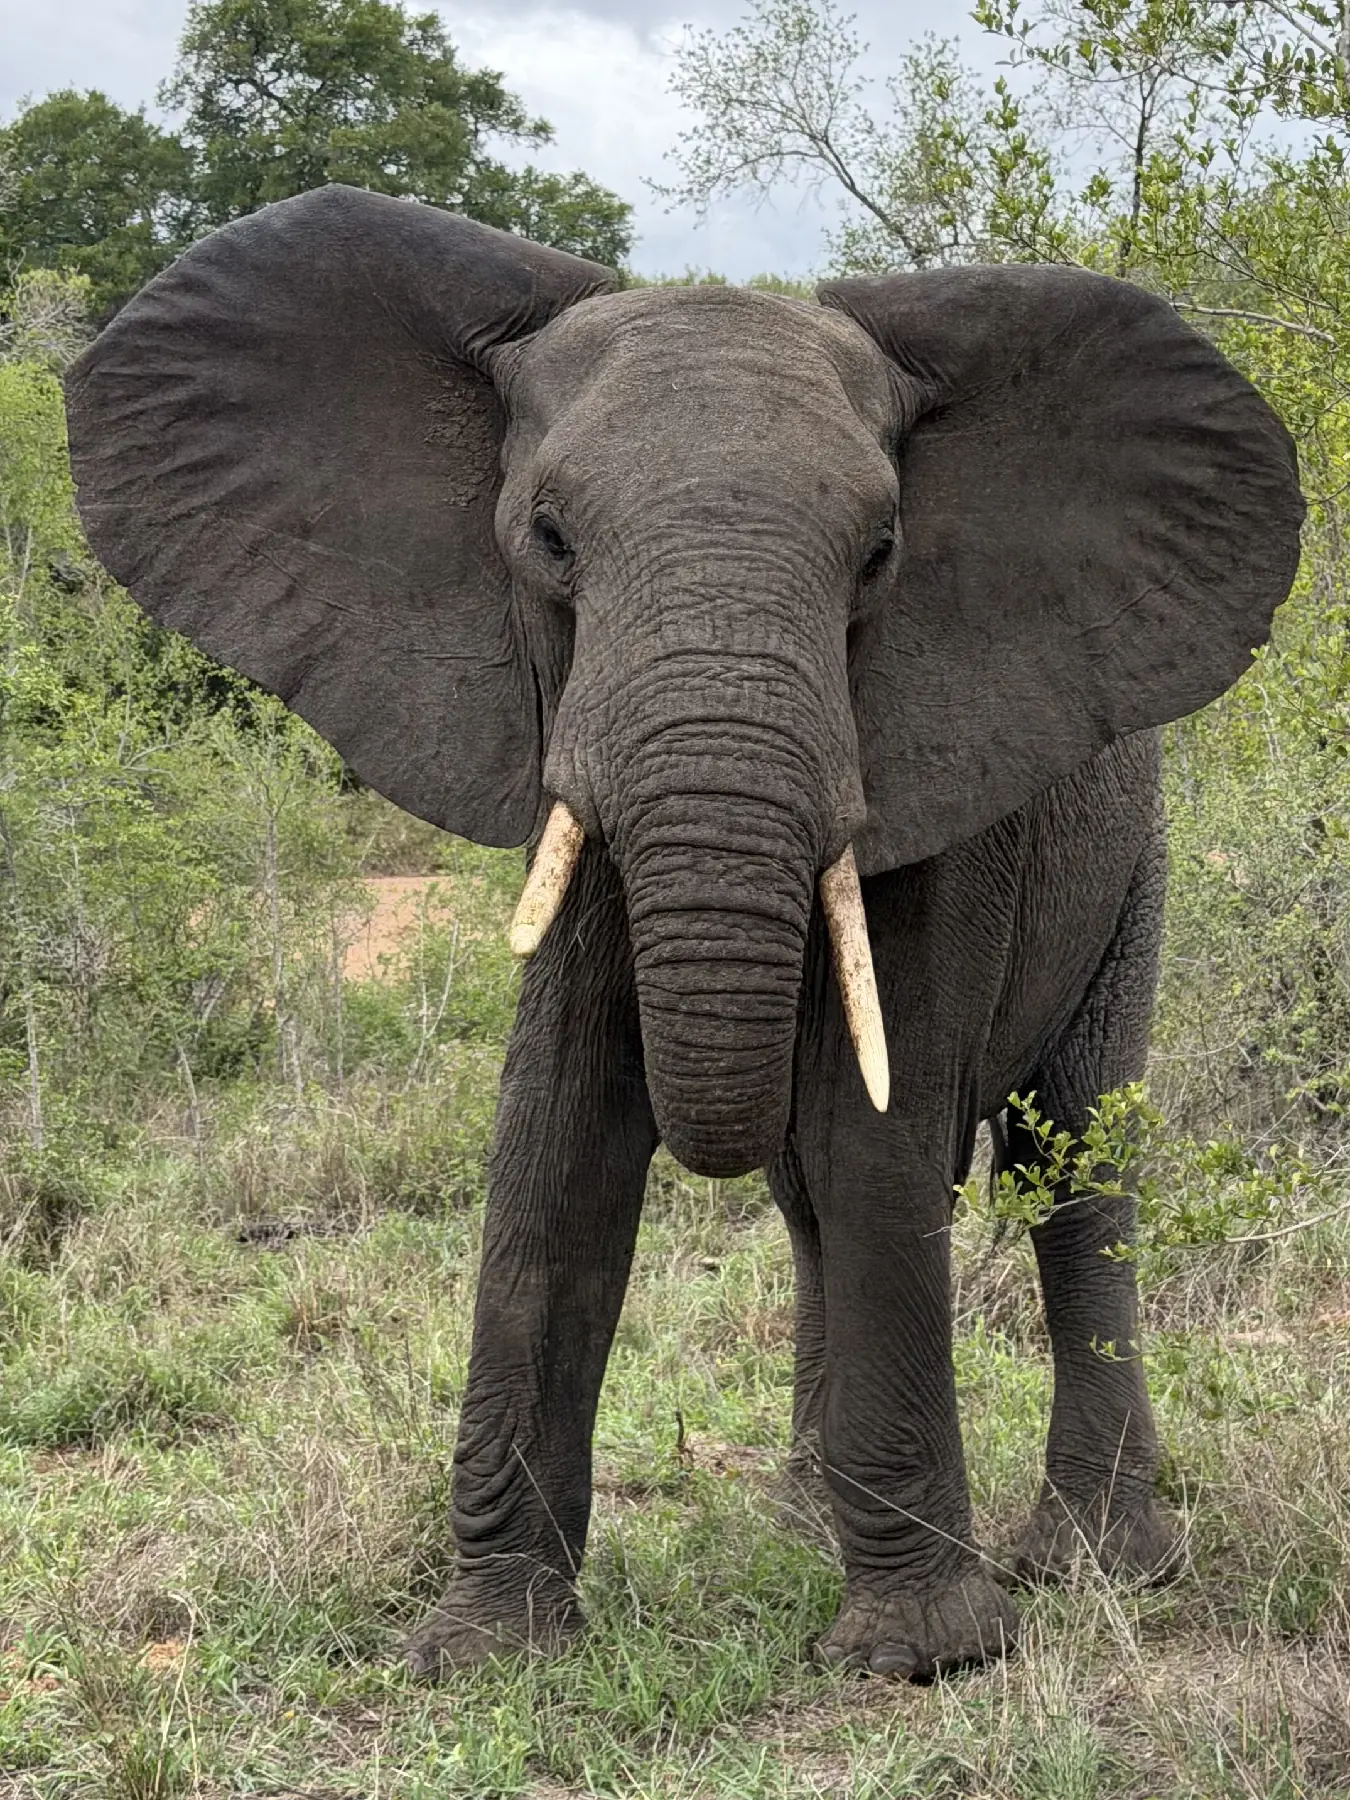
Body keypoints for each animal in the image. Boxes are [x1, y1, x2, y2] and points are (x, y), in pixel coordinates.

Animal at [64, 184, 1304, 1681]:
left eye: (880, 557)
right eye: (547, 540)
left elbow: (875, 1139)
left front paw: (923, 1656)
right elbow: (555, 1138)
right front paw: (488, 1653)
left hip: (1133, 870)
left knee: (1072, 1160)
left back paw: (1100, 1568)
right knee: (811, 1203)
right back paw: (804, 1525)